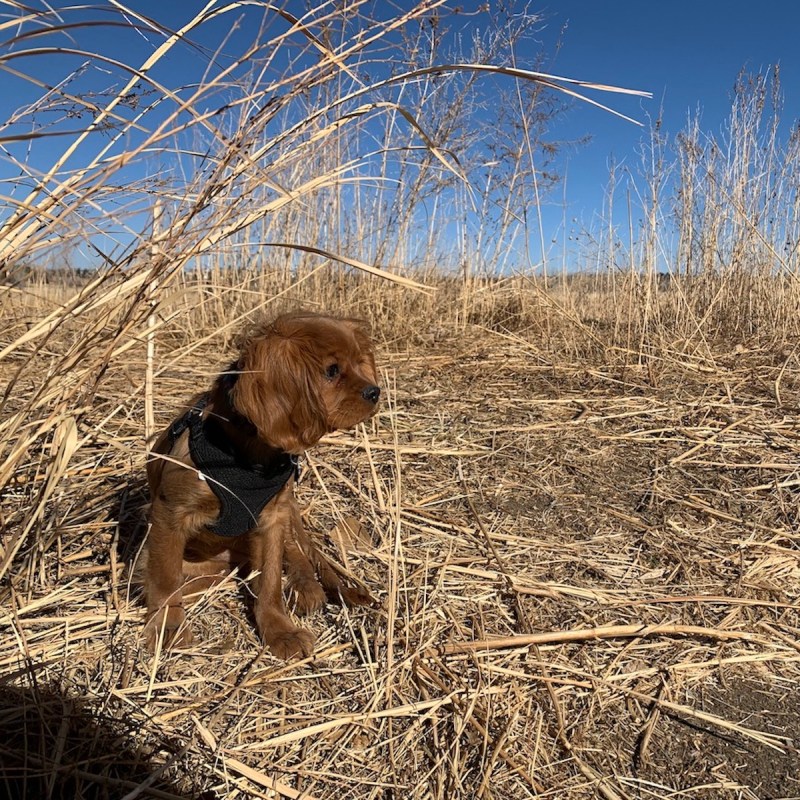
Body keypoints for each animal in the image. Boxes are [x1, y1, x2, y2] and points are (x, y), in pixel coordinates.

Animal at [144, 310, 382, 656]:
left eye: (358, 363)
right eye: (332, 371)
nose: (375, 392)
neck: (247, 458)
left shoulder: (272, 518)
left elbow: (270, 580)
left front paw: (280, 630)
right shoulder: (170, 514)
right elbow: (166, 577)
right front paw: (168, 626)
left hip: (289, 512)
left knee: (298, 551)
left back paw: (305, 586)